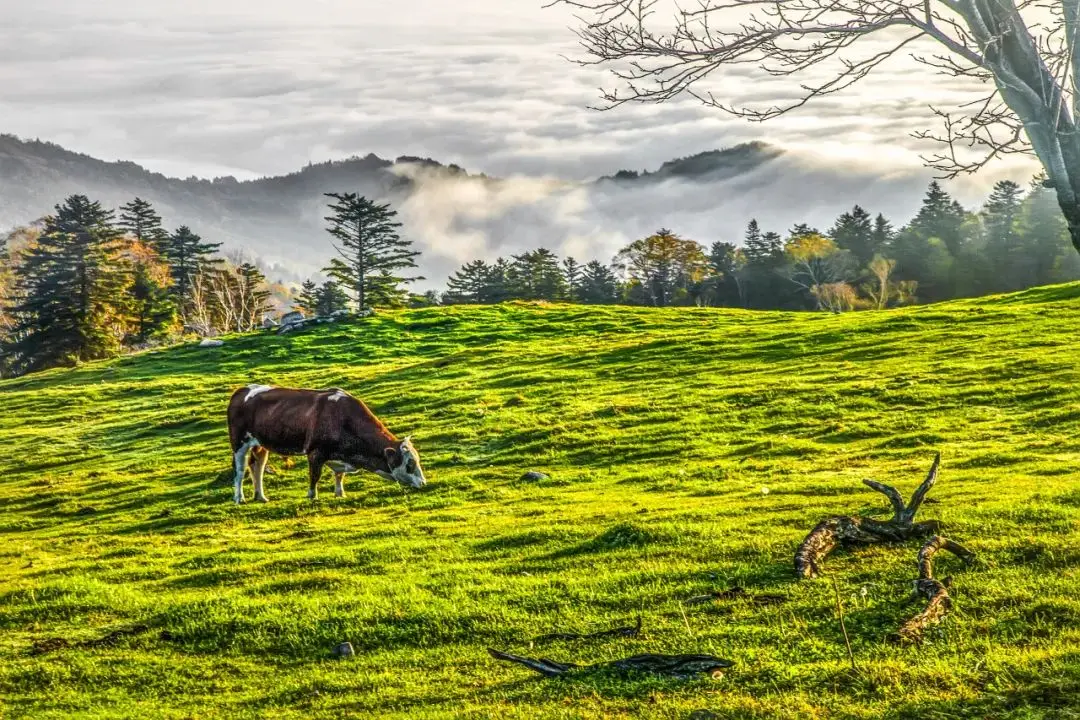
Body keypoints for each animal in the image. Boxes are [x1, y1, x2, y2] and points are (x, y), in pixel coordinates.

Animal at [225, 386, 423, 505]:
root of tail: (242, 390)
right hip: (239, 442)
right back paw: (239, 498)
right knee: (239, 469)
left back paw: (261, 496)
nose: (423, 482)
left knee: (256, 465)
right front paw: (312, 496)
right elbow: (315, 475)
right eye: (410, 463)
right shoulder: (315, 452)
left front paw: (340, 493)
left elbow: (339, 475)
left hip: (260, 443)